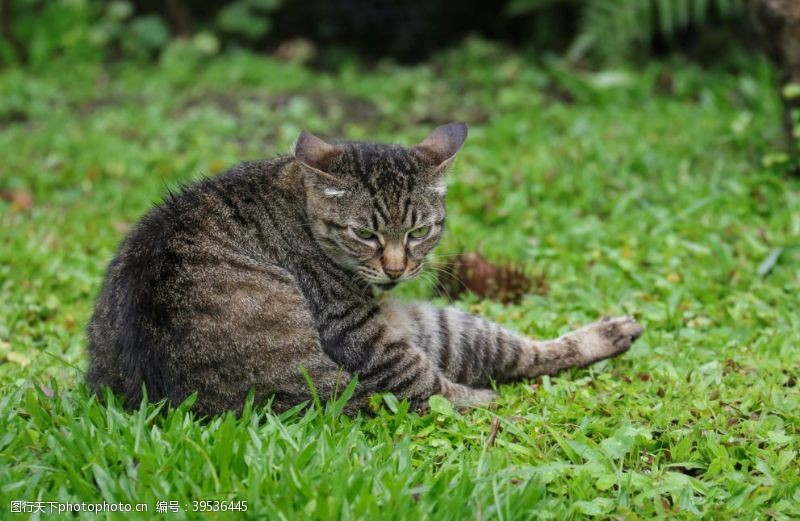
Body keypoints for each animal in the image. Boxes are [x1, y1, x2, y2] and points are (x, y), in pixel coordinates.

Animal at [86, 122, 644, 414]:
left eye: (418, 232)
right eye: (366, 234)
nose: (396, 269)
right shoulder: (353, 329)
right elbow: (425, 386)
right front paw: (479, 401)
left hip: (431, 322)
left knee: (514, 353)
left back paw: (613, 333)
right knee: (436, 384)